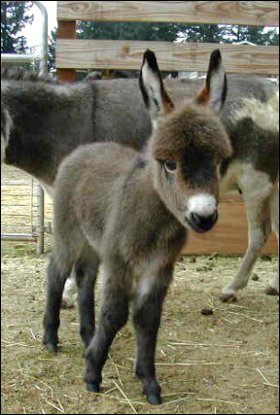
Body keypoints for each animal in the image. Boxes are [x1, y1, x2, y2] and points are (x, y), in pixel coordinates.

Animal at [43, 49, 232, 406]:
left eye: (217, 162)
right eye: (170, 164)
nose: (204, 217)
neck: (155, 226)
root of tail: (84, 148)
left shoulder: (159, 268)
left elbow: (148, 318)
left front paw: (149, 382)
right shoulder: (121, 262)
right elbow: (116, 313)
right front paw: (93, 373)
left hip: (94, 242)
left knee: (85, 277)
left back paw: (88, 335)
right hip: (69, 233)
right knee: (57, 272)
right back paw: (50, 338)